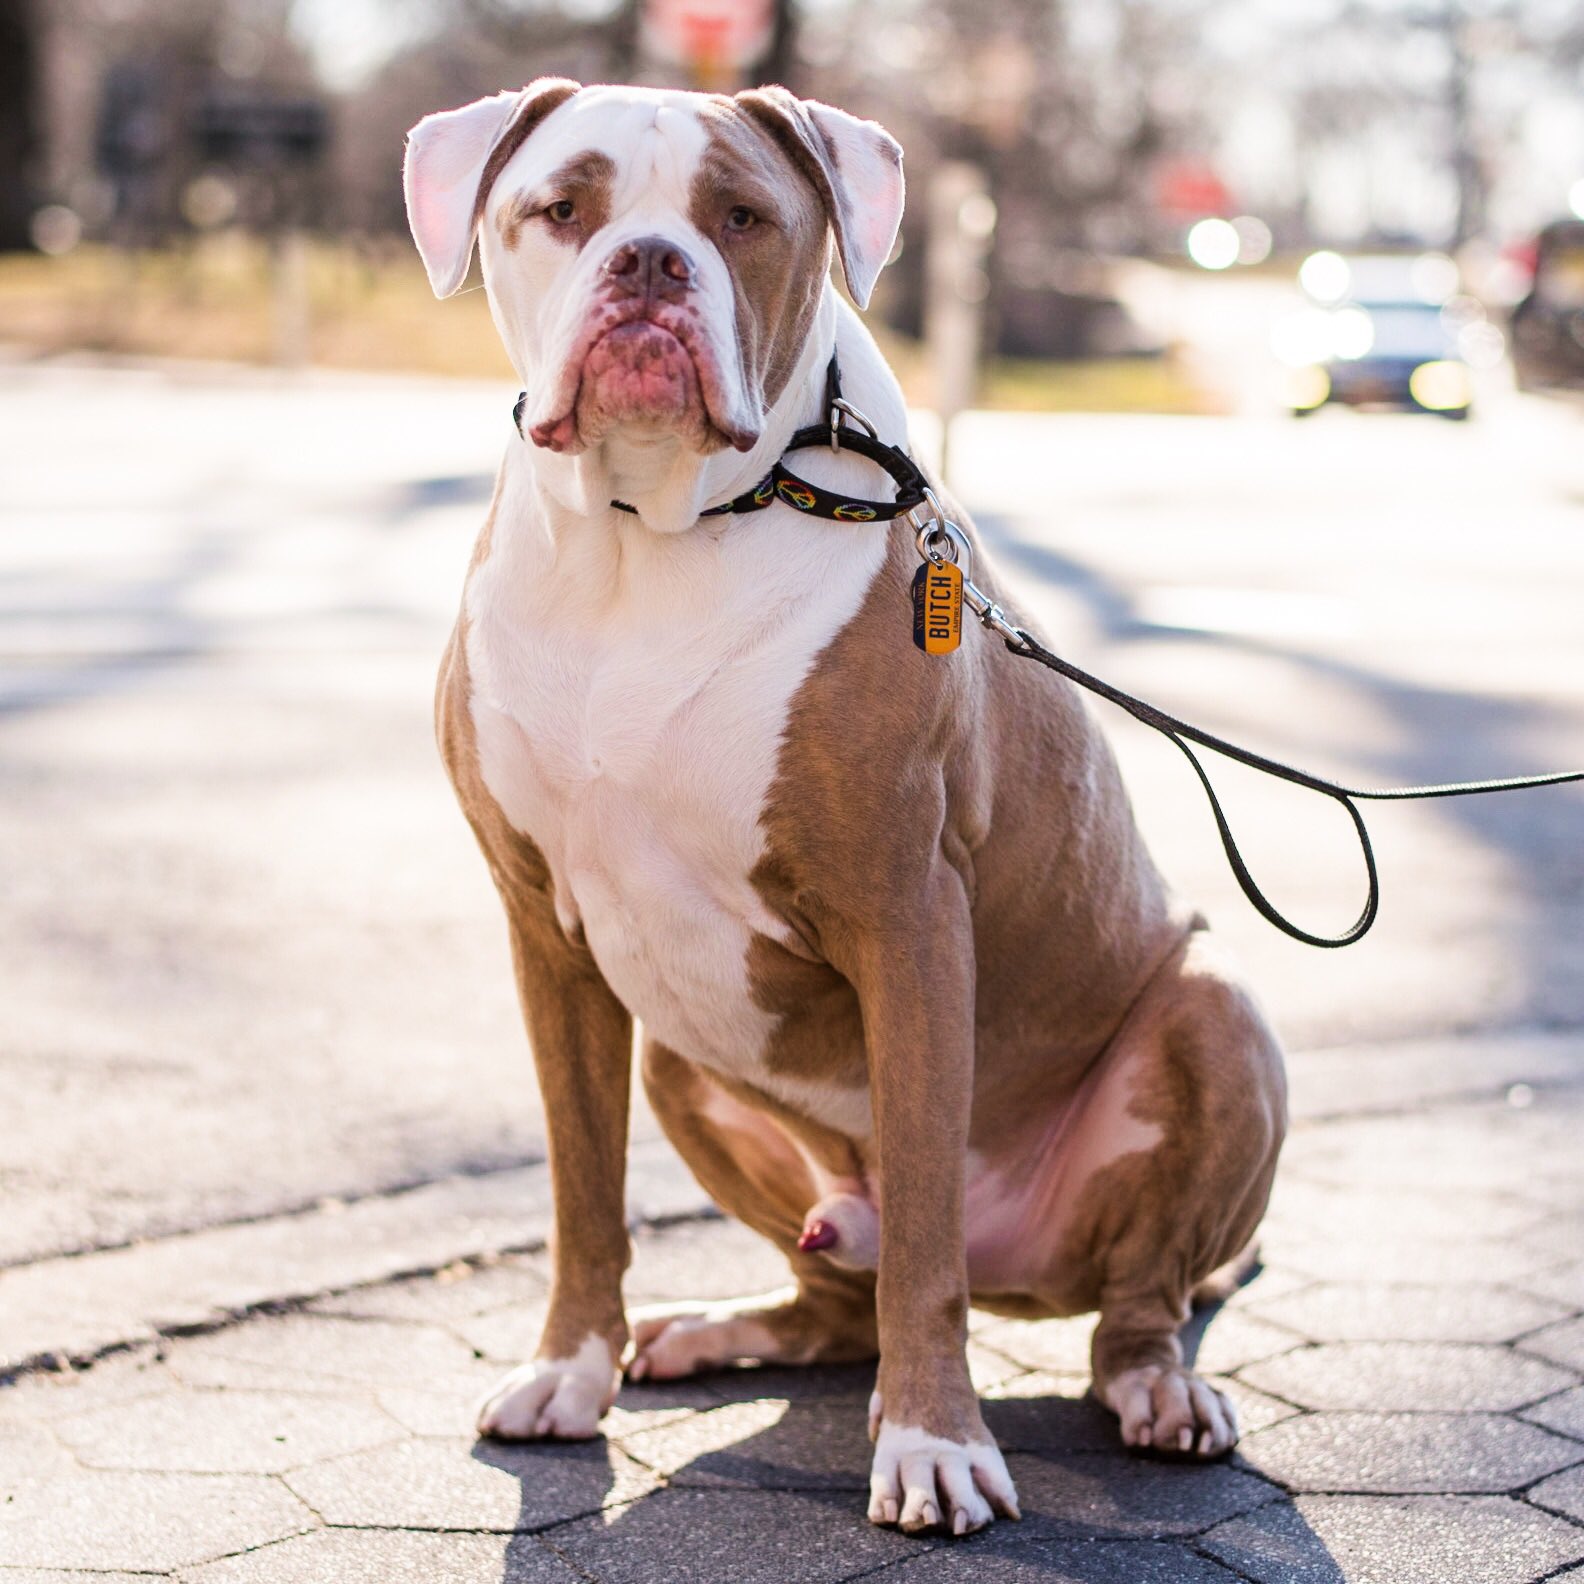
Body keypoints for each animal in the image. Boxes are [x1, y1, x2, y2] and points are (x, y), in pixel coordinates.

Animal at [408, 77, 1286, 1533]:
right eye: (564, 207)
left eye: (741, 218)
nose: (650, 264)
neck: (650, 538)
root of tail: (1025, 1271)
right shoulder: (546, 936)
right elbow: (583, 1186)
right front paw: (568, 1369)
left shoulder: (907, 915)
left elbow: (925, 1217)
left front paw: (933, 1443)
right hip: (679, 1055)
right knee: (837, 1299)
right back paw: (724, 1330)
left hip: (1216, 1022)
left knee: (1124, 1298)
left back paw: (1157, 1387)